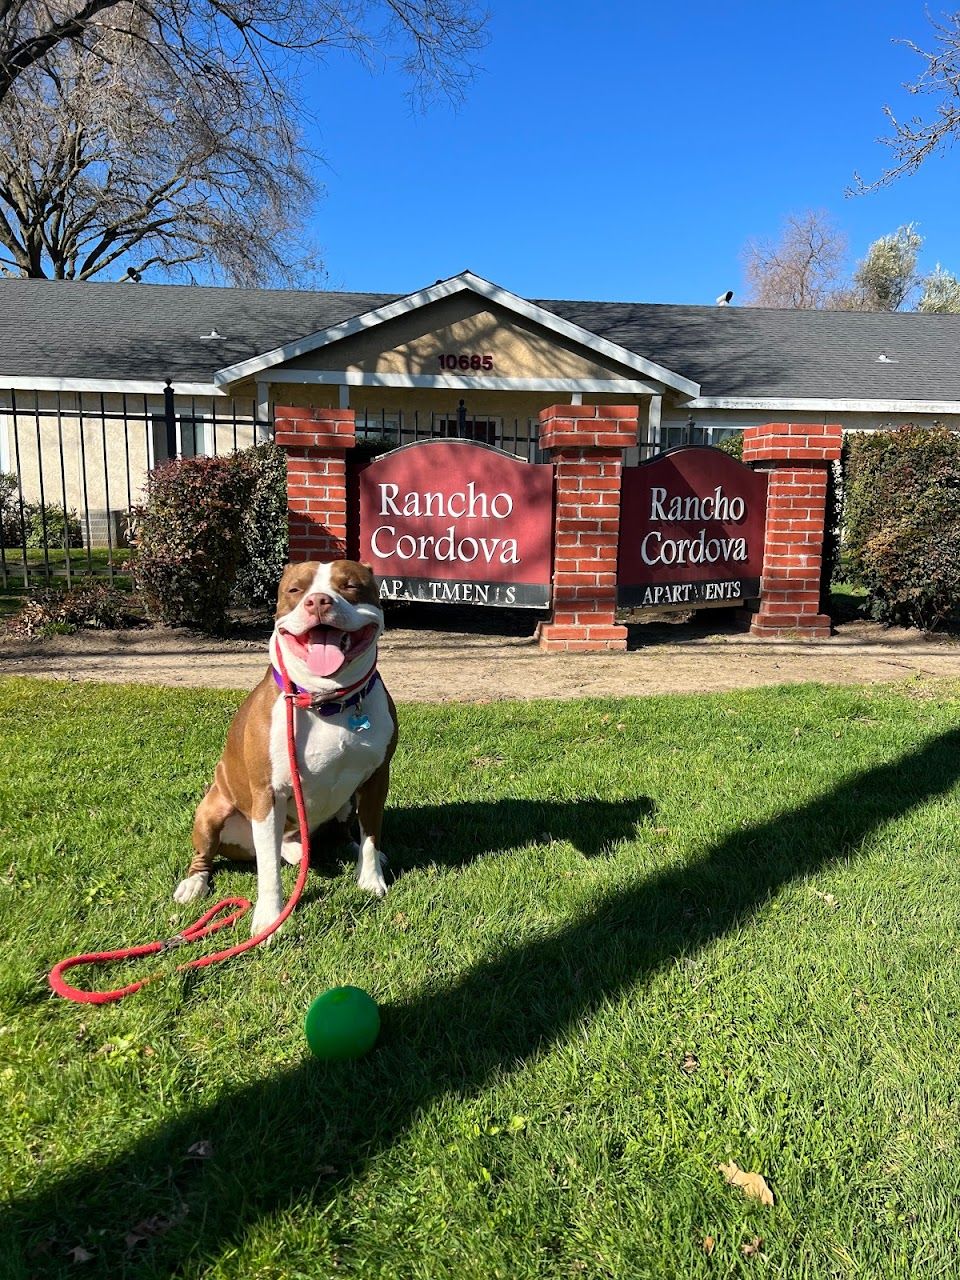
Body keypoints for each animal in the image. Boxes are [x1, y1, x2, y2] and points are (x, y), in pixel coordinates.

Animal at [174, 558, 399, 931]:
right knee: (206, 854)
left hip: (348, 801)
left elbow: (371, 834)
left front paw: (370, 879)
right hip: (212, 809)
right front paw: (269, 918)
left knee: (347, 833)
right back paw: (194, 883)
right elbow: (268, 871)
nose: (318, 601)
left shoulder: (376, 779)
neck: (325, 701)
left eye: (349, 585)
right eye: (295, 590)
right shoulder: (268, 794)